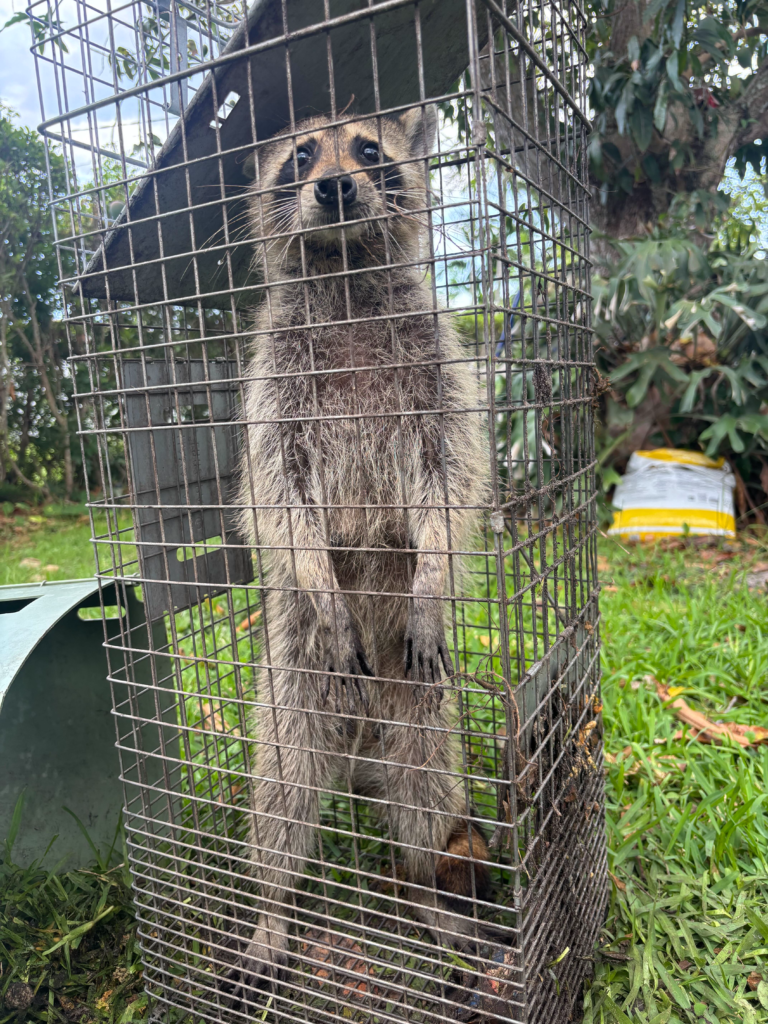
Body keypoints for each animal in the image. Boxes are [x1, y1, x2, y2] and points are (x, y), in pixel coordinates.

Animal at [233, 105, 496, 996]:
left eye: (370, 151)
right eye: (302, 155)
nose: (336, 187)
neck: (344, 273)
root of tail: (362, 724)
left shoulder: (436, 363)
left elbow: (450, 478)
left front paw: (434, 579)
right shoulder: (275, 381)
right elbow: (280, 496)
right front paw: (319, 573)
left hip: (419, 696)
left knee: (424, 788)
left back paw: (424, 895)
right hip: (295, 670)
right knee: (283, 794)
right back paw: (273, 908)